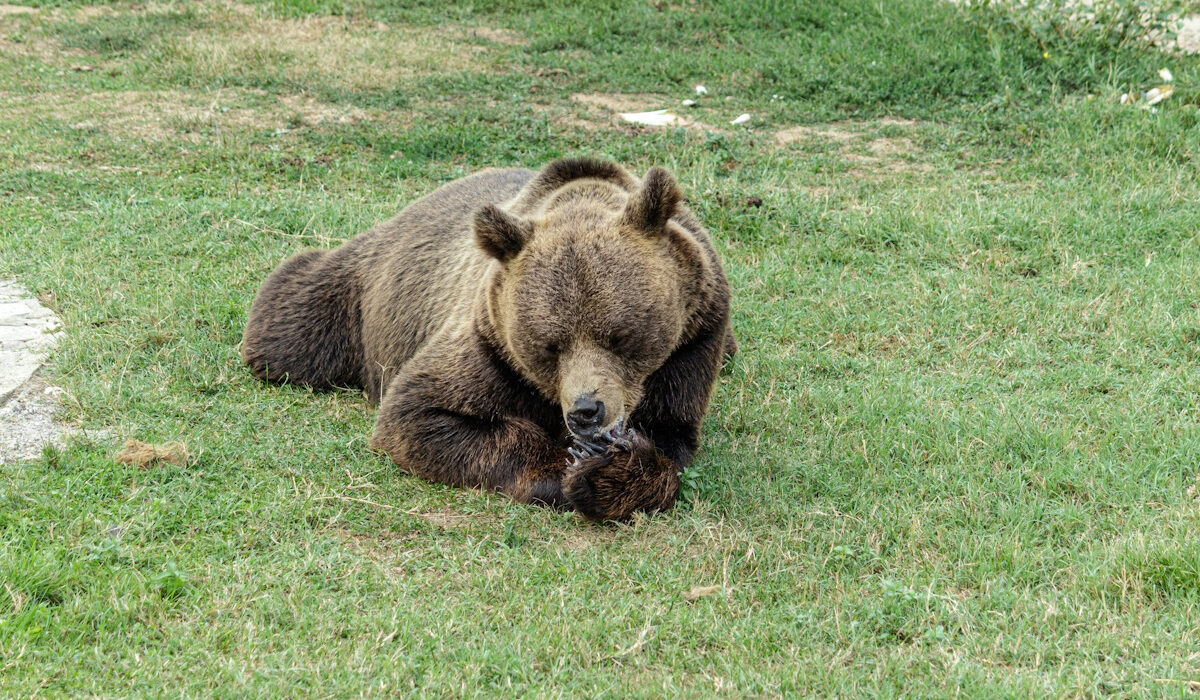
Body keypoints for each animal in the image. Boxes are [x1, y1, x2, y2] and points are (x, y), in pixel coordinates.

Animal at [240, 158, 734, 521]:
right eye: (550, 345)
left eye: (620, 336)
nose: (585, 411)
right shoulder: (489, 344)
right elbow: (420, 415)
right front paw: (569, 467)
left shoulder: (693, 341)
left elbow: (670, 438)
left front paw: (609, 471)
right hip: (357, 292)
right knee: (293, 326)